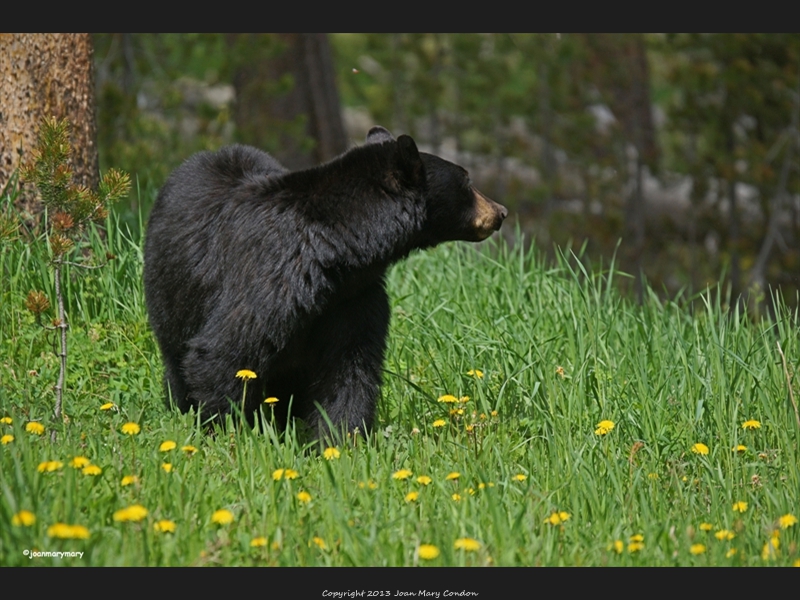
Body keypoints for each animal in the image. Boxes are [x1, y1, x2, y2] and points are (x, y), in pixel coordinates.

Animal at [144, 126, 506, 438]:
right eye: (466, 181)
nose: (500, 211)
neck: (335, 252)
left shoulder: (353, 298)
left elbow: (348, 370)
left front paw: (341, 441)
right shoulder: (272, 274)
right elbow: (225, 351)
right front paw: (228, 434)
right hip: (170, 291)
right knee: (177, 356)